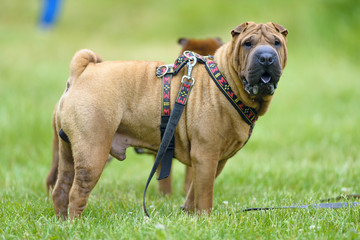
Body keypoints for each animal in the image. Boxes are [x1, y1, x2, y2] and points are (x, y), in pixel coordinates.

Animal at [51, 21, 286, 218]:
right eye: (248, 44)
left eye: (277, 42)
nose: (266, 57)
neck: (227, 80)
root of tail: (83, 71)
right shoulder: (206, 155)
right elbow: (204, 196)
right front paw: (206, 219)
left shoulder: (214, 161)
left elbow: (193, 191)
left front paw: (191, 216)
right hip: (93, 152)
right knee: (77, 192)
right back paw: (76, 224)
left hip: (68, 152)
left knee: (60, 188)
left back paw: (62, 222)